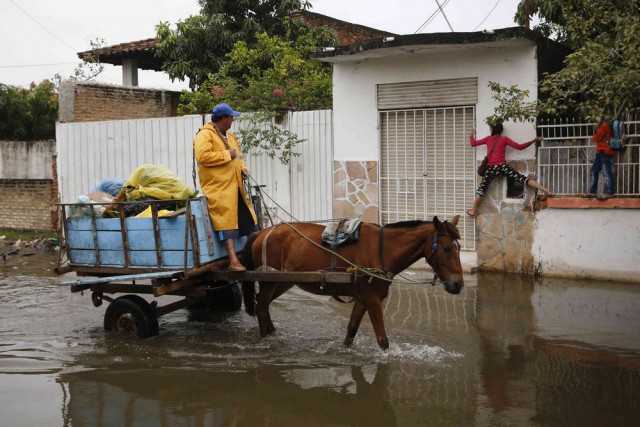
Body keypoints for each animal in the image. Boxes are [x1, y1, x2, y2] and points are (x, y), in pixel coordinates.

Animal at [242, 216, 462, 350]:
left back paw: (271, 332)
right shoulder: (373, 300)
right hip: (270, 281)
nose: (458, 284)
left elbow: (351, 330)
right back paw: (265, 339)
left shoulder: (363, 299)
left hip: (282, 281)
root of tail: (261, 232)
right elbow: (382, 341)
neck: (382, 251)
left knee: (263, 304)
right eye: (447, 248)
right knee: (261, 306)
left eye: (458, 247)